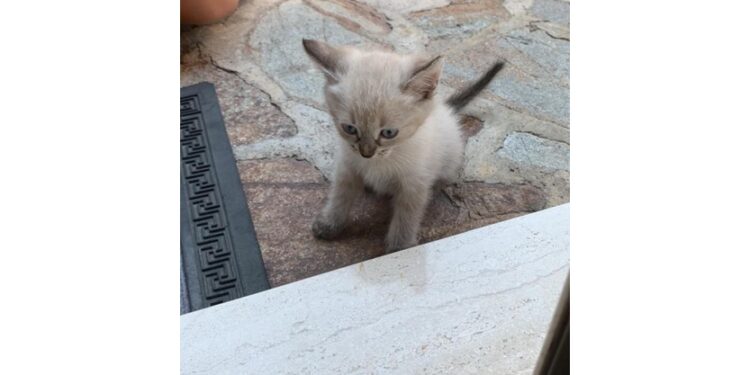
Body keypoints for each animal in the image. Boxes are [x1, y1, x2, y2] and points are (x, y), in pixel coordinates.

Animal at [302, 39, 506, 253]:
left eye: (388, 133)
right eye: (350, 128)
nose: (366, 153)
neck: (381, 161)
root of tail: (445, 108)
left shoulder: (414, 185)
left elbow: (406, 218)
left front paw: (399, 249)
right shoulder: (347, 168)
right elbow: (339, 198)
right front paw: (328, 224)